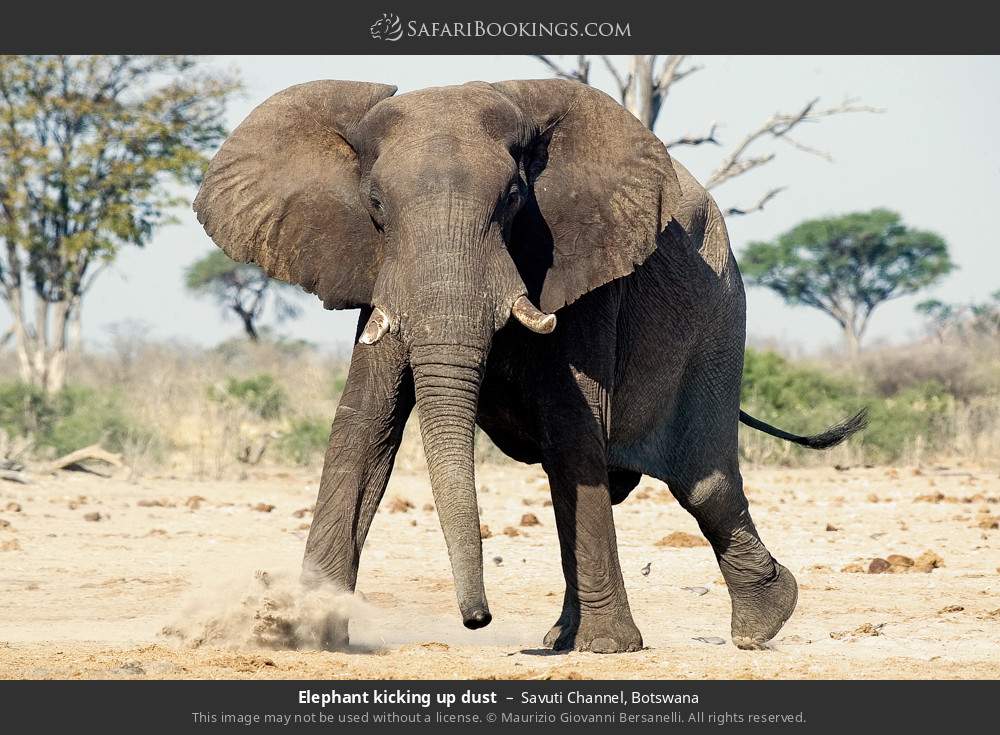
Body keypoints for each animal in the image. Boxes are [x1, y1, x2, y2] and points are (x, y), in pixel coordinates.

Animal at [191, 79, 864, 656]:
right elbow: (363, 430)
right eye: (375, 205)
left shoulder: (582, 269)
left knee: (704, 483)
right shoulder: (378, 278)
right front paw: (307, 635)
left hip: (720, 315)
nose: (478, 619)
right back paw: (562, 638)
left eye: (514, 198)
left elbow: (573, 428)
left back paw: (759, 624)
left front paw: (610, 649)